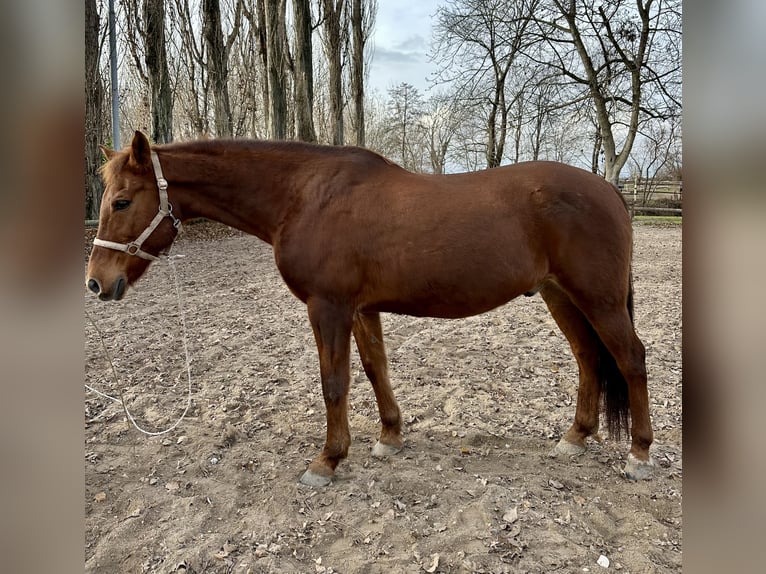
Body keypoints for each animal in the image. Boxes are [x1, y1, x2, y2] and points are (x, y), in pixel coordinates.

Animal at [88, 133, 656, 488]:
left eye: (121, 201)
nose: (97, 282)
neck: (304, 197)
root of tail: (609, 188)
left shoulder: (329, 308)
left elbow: (334, 382)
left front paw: (327, 460)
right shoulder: (361, 309)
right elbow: (374, 368)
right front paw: (389, 437)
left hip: (599, 299)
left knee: (630, 359)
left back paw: (640, 454)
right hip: (561, 295)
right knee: (588, 358)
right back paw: (576, 437)